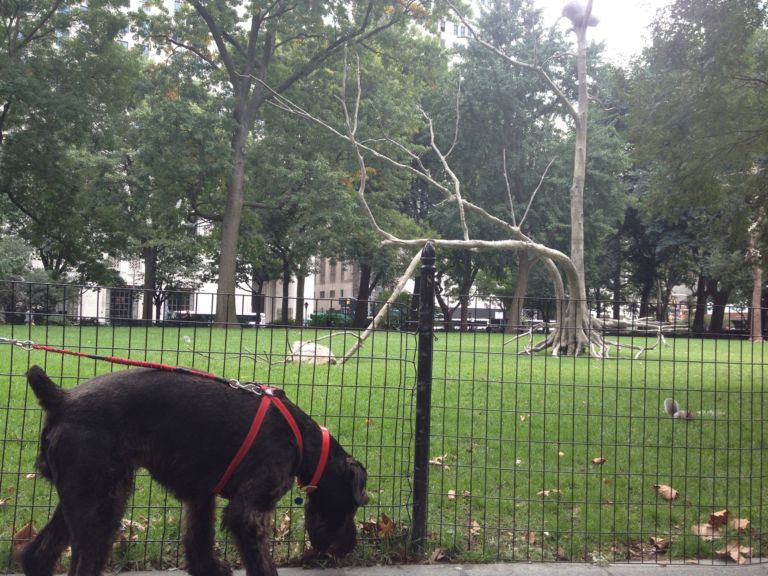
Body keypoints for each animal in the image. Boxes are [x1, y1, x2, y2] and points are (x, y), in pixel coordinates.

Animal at [22, 366, 370, 576]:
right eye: (357, 504)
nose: (347, 548)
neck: (304, 441)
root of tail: (61, 400)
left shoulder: (201, 496)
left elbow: (199, 539)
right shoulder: (250, 512)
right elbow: (261, 561)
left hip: (84, 498)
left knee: (38, 553)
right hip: (102, 503)